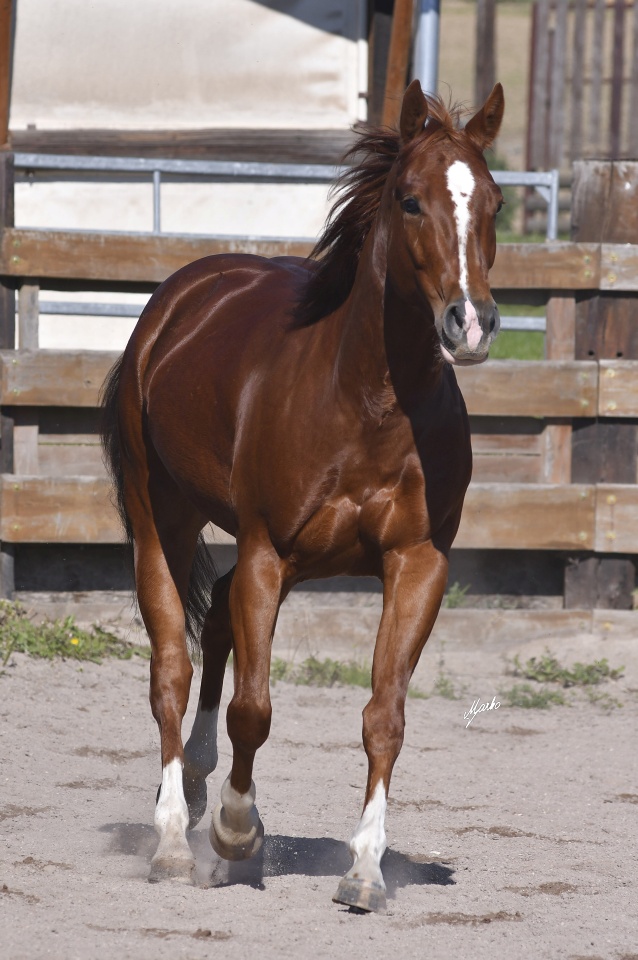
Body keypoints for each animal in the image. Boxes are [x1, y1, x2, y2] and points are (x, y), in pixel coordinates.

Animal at [102, 79, 508, 912]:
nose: (472, 322)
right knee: (171, 669)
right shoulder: (269, 554)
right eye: (411, 200)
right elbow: (253, 709)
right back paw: (172, 838)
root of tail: (178, 299)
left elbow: (385, 717)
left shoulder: (417, 565)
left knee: (214, 621)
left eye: (495, 202)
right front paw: (235, 832)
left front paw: (365, 871)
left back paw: (197, 786)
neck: (367, 403)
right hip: (165, 521)